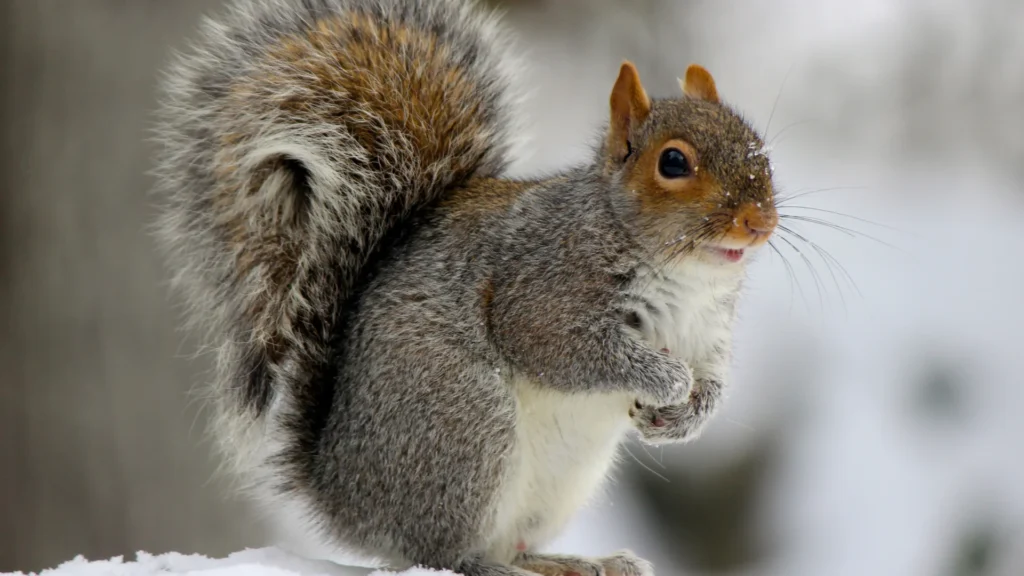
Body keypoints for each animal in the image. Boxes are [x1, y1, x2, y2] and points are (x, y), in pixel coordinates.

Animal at [152, 0, 778, 575]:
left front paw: (685, 416)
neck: (684, 275)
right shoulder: (544, 291)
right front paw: (667, 381)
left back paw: (580, 562)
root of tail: (341, 496)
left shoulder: (707, 327)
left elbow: (713, 378)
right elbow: (570, 352)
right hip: (465, 425)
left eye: (759, 148)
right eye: (673, 162)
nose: (759, 222)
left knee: (512, 543)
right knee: (444, 553)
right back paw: (494, 565)